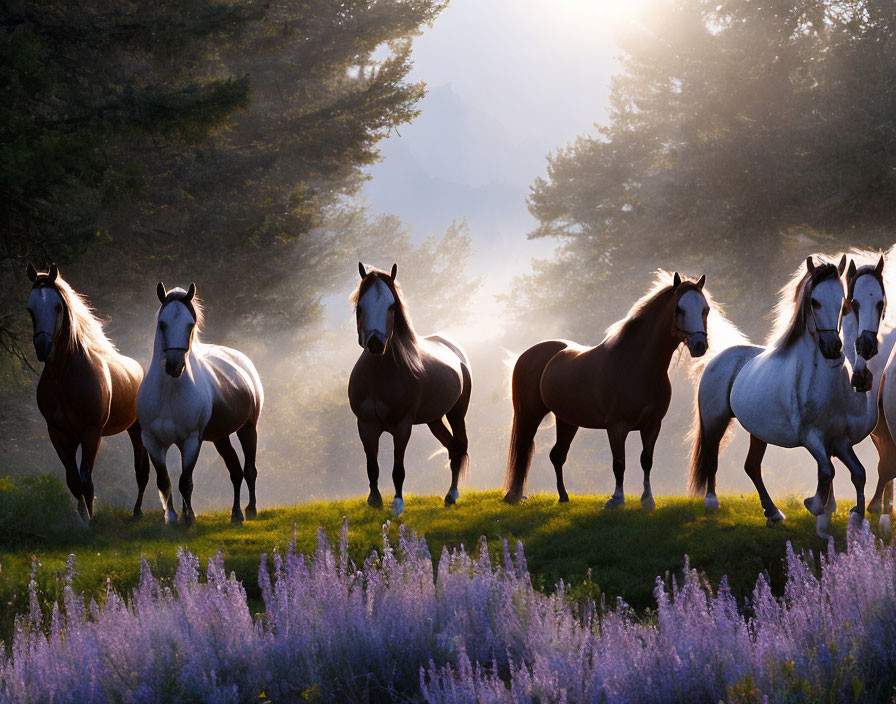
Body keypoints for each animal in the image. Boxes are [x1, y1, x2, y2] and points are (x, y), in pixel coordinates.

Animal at [25, 262, 149, 520]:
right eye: (30, 309)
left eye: (58, 306)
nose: (43, 347)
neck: (63, 379)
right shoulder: (59, 434)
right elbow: (74, 481)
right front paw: (83, 519)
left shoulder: (91, 433)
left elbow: (86, 481)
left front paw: (91, 521)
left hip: (137, 429)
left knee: (142, 472)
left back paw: (137, 512)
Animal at [136, 282, 262, 524]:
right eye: (162, 324)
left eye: (190, 324)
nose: (174, 366)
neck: (169, 393)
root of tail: (243, 361)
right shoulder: (152, 442)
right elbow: (164, 481)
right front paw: (172, 518)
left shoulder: (191, 441)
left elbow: (185, 482)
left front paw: (190, 518)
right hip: (221, 437)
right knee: (235, 471)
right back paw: (236, 513)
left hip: (248, 428)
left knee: (249, 469)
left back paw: (250, 509)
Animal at [346, 262, 472, 516]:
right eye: (360, 307)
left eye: (392, 305)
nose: (375, 344)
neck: (380, 375)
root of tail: (455, 350)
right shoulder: (365, 425)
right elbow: (372, 466)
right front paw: (375, 500)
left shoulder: (402, 426)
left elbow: (398, 469)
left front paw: (397, 504)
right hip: (434, 420)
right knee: (452, 447)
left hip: (456, 413)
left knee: (459, 446)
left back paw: (452, 495)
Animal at [504, 270, 736, 506]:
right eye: (679, 308)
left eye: (705, 309)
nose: (699, 346)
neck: (637, 365)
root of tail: (529, 354)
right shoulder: (617, 426)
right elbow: (619, 463)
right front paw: (616, 499)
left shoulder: (652, 426)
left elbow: (646, 461)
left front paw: (647, 500)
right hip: (530, 414)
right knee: (523, 449)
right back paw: (514, 495)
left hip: (567, 420)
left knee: (557, 455)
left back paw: (563, 496)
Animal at [688, 256, 884, 536]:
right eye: (814, 301)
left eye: (842, 301)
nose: (833, 349)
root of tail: (717, 358)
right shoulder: (812, 438)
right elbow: (827, 471)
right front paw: (815, 506)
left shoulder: (840, 440)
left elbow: (858, 472)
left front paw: (856, 518)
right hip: (715, 422)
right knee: (711, 456)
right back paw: (712, 502)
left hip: (757, 431)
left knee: (752, 466)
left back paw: (773, 513)